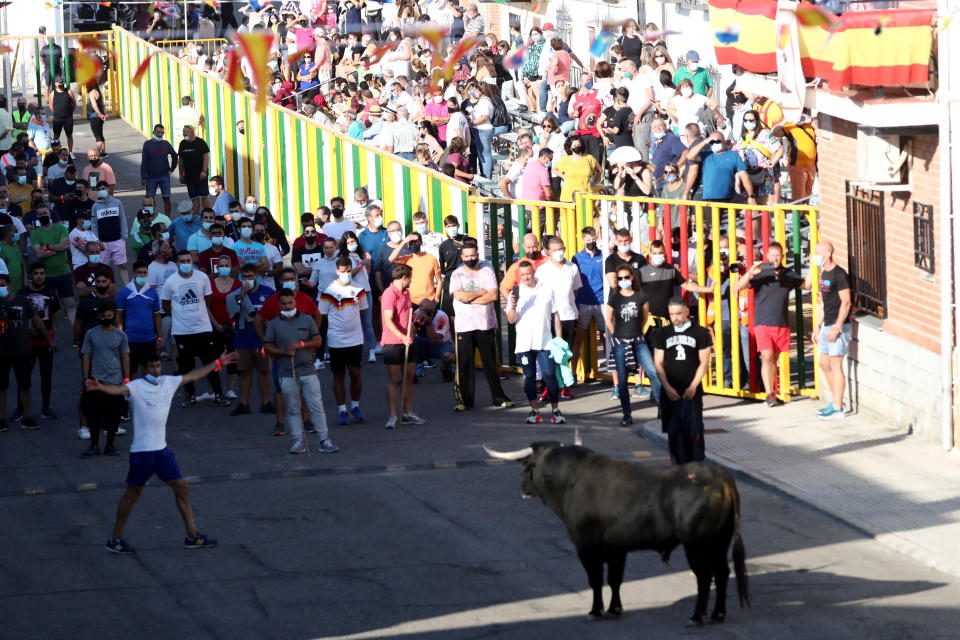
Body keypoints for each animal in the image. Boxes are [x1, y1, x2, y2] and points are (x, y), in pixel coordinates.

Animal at [488, 442, 752, 628]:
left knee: (705, 576)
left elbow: (595, 579)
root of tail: (719, 475)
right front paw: (614, 609)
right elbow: (615, 579)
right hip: (718, 542)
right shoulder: (617, 548)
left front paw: (595, 611)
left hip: (696, 545)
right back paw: (718, 614)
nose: (522, 488)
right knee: (722, 572)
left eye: (527, 466)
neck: (573, 479)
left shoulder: (586, 546)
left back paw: (697, 617)